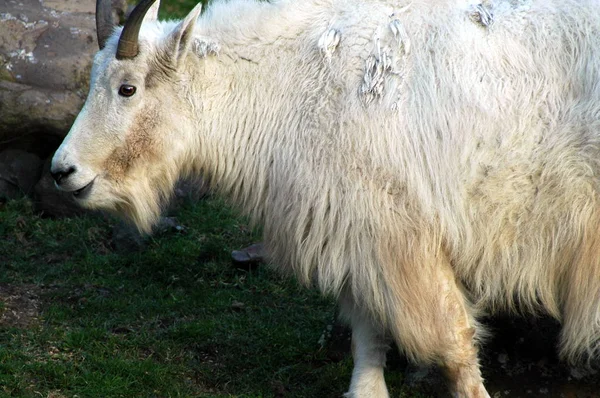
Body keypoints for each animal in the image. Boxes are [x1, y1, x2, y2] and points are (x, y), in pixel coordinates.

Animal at [51, 0, 600, 396]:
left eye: (127, 88)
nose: (63, 172)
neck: (294, 83)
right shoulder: (356, 234)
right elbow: (368, 338)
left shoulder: (402, 234)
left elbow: (453, 343)